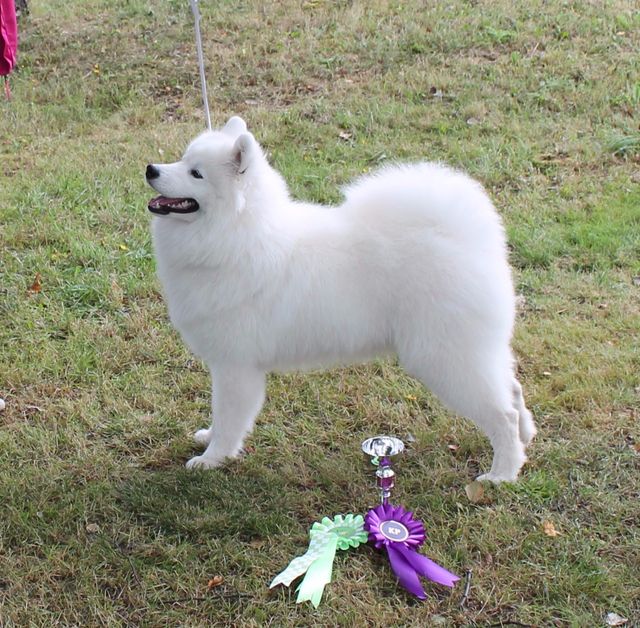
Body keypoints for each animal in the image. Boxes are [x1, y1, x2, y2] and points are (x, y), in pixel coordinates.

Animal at [146, 115, 536, 484]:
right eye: (183, 158)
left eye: (196, 173)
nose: (151, 169)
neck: (238, 234)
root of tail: (468, 238)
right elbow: (219, 414)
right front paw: (207, 437)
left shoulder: (235, 365)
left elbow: (229, 418)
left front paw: (212, 458)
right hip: (473, 350)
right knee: (513, 390)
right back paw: (526, 437)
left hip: (445, 357)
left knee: (502, 413)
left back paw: (502, 473)